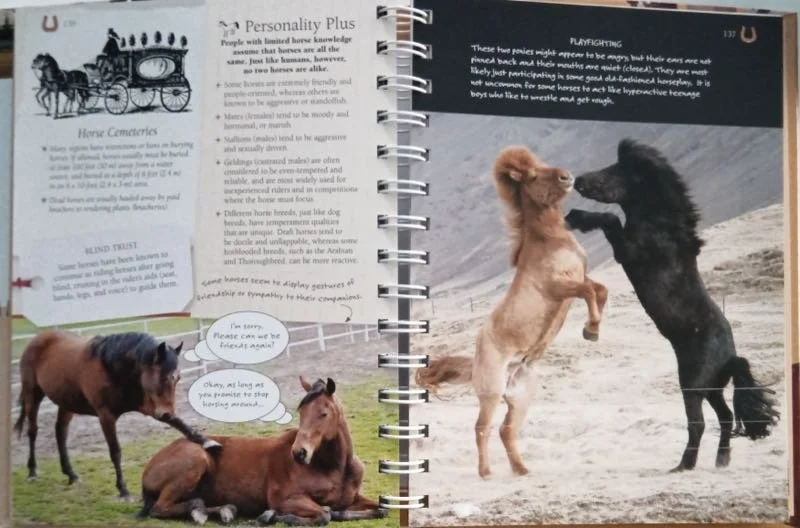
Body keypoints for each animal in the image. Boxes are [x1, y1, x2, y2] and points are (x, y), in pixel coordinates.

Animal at [13, 329, 221, 500]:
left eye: (177, 378)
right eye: (163, 377)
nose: (167, 410)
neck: (112, 367)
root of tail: (37, 339)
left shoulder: (147, 406)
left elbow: (180, 423)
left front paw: (207, 442)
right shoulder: (106, 415)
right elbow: (115, 451)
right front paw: (123, 490)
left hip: (66, 403)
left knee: (60, 434)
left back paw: (71, 474)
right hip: (33, 394)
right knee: (33, 431)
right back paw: (32, 472)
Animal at [138, 376, 388, 526]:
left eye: (324, 413)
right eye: (302, 412)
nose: (299, 453)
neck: (333, 468)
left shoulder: (351, 498)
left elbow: (381, 509)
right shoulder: (285, 498)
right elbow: (323, 515)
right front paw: (271, 516)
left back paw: (223, 510)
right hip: (196, 458)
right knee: (160, 508)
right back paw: (200, 511)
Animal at [415, 146, 608, 479]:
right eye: (531, 175)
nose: (567, 177)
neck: (549, 242)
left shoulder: (580, 277)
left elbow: (600, 290)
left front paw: (591, 330)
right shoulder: (559, 288)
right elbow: (588, 292)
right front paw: (591, 329)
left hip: (520, 398)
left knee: (507, 430)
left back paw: (521, 469)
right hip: (492, 394)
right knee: (482, 428)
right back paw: (486, 473)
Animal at [565, 138, 780, 472]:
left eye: (615, 173)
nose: (579, 181)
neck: (660, 227)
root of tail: (730, 356)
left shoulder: (627, 251)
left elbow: (611, 219)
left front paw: (576, 218)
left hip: (691, 386)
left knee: (699, 424)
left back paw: (683, 466)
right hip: (712, 389)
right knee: (726, 417)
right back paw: (721, 460)